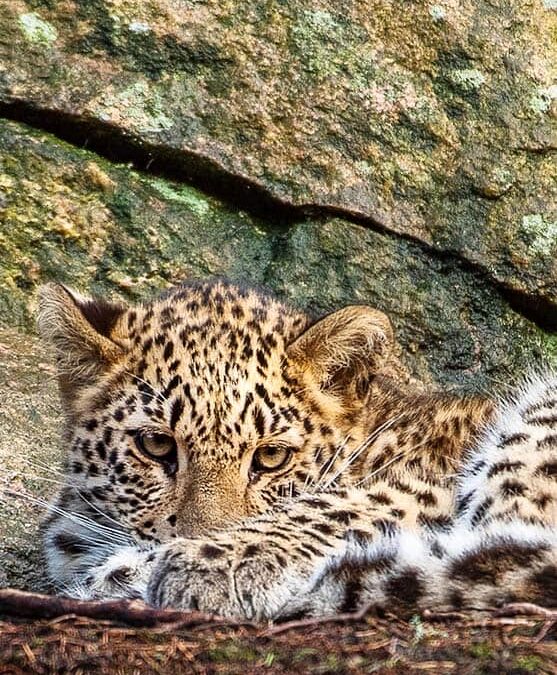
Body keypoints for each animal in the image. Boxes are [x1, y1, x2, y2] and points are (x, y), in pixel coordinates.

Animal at [36, 278, 556, 620]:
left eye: (271, 458)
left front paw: (205, 564)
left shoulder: (432, 480)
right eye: (156, 444)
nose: (197, 538)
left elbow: (327, 508)